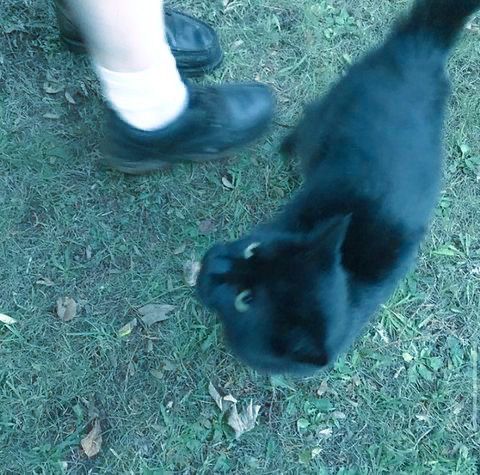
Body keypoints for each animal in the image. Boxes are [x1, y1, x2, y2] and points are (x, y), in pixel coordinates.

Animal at [196, 0, 480, 376]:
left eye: (245, 302)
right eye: (251, 251)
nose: (213, 262)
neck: (349, 280)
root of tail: (423, 48)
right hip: (327, 116)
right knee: (305, 125)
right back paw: (285, 150)